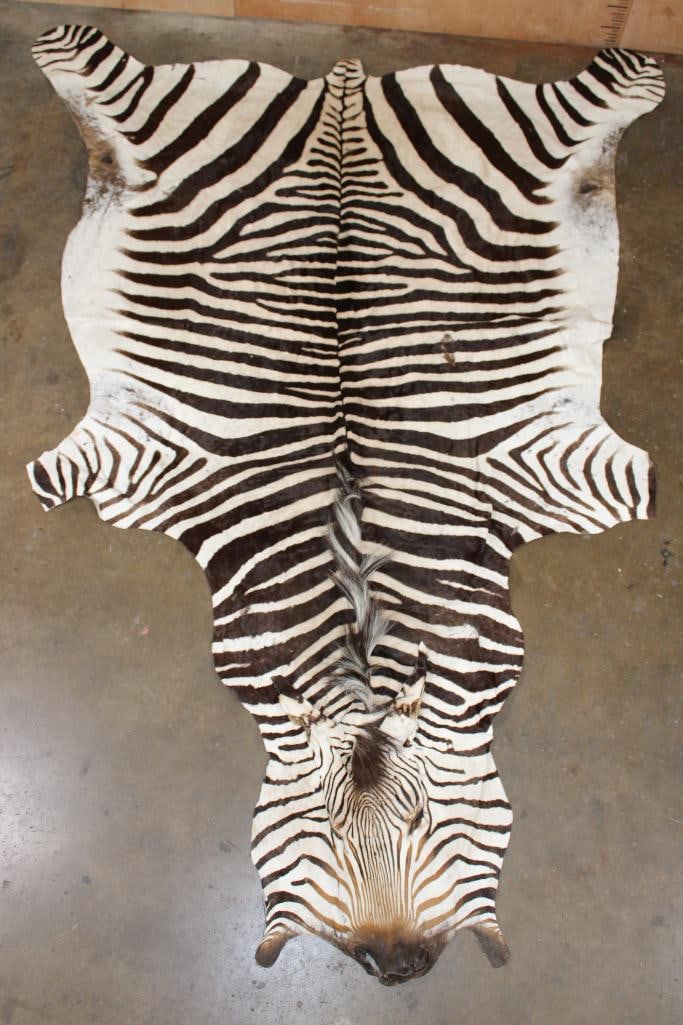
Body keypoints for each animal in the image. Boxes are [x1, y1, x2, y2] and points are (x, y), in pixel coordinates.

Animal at [27, 24, 664, 984]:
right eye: (321, 835)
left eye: (424, 820)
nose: (396, 964)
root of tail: (342, 92)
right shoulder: (124, 464)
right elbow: (48, 476)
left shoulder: (575, 471)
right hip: (167, 125)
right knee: (90, 68)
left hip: (518, 137)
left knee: (604, 92)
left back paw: (640, 78)